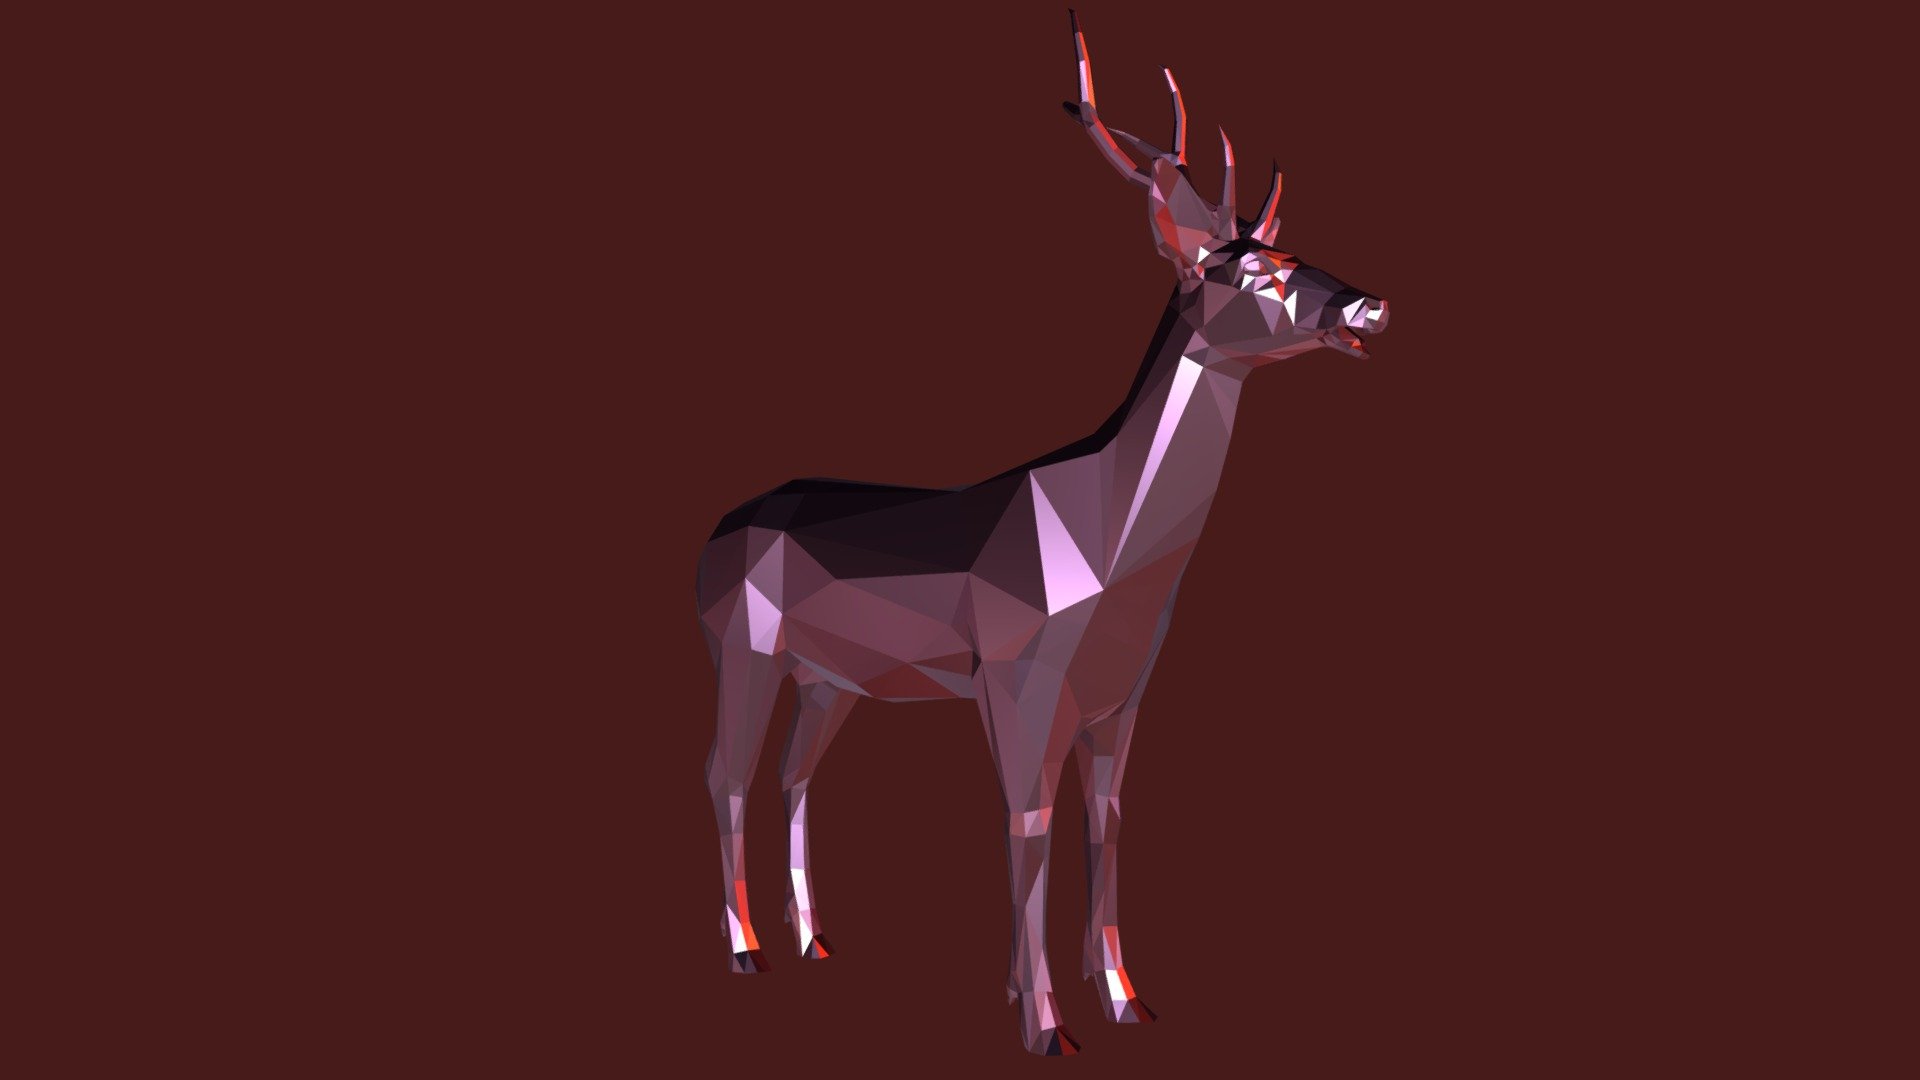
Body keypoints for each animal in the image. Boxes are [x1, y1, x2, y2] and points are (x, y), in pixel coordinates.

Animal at [696, 11, 1390, 1056]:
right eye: (1249, 270)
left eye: (1294, 250)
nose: (1366, 303)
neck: (1107, 549)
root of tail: (706, 544)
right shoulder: (1018, 674)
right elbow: (1029, 829)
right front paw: (1044, 1022)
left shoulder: (1123, 693)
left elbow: (1108, 825)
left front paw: (1127, 998)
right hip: (742, 645)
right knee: (726, 772)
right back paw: (745, 949)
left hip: (829, 678)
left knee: (792, 773)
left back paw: (816, 938)